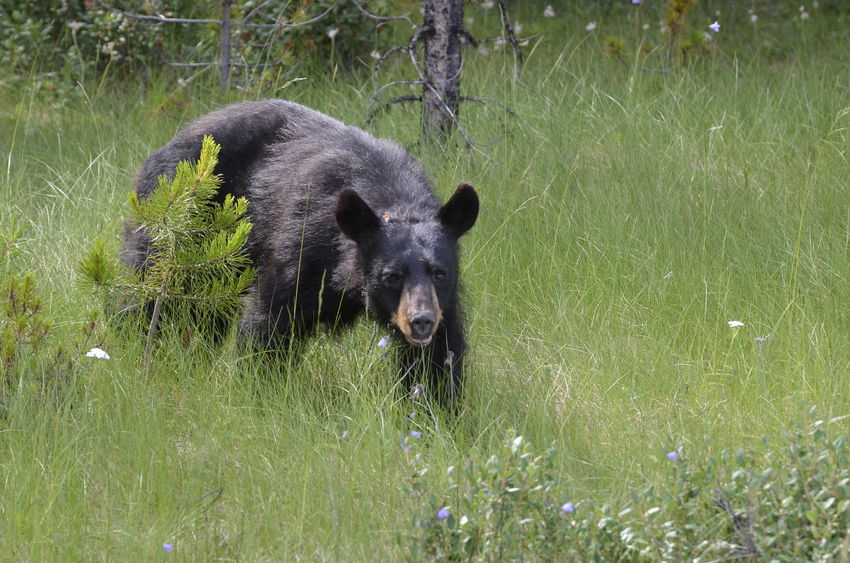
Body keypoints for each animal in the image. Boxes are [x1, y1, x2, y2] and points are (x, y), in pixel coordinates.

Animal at [121, 100, 476, 410]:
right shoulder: (304, 244)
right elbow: (270, 320)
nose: (421, 321)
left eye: (440, 273)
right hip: (178, 220)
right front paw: (258, 392)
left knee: (210, 312)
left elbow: (438, 356)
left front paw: (438, 412)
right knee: (146, 289)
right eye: (392, 275)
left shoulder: (442, 300)